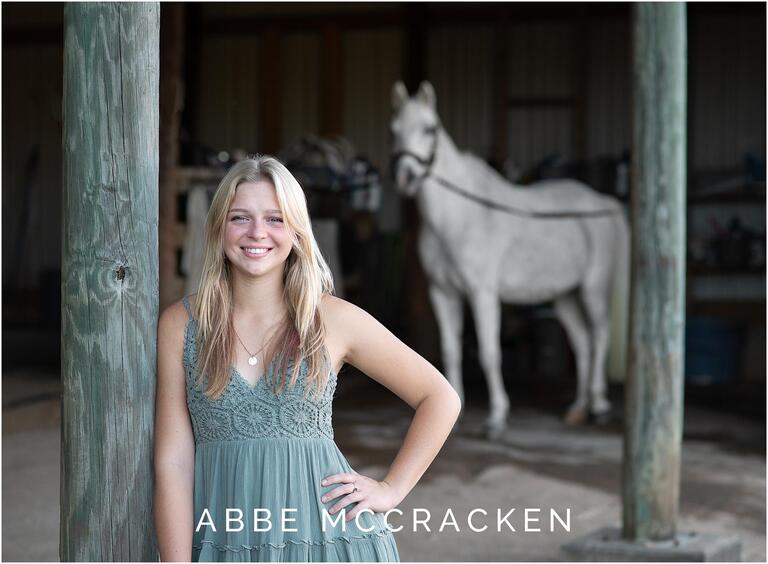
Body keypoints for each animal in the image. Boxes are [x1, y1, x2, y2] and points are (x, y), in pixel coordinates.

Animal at [390, 81, 632, 438]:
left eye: (429, 128)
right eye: (393, 131)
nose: (405, 178)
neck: (458, 216)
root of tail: (604, 203)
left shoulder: (481, 293)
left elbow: (490, 353)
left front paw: (496, 417)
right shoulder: (443, 293)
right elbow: (450, 352)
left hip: (593, 288)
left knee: (600, 335)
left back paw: (599, 406)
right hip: (564, 296)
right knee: (583, 342)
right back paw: (577, 408)